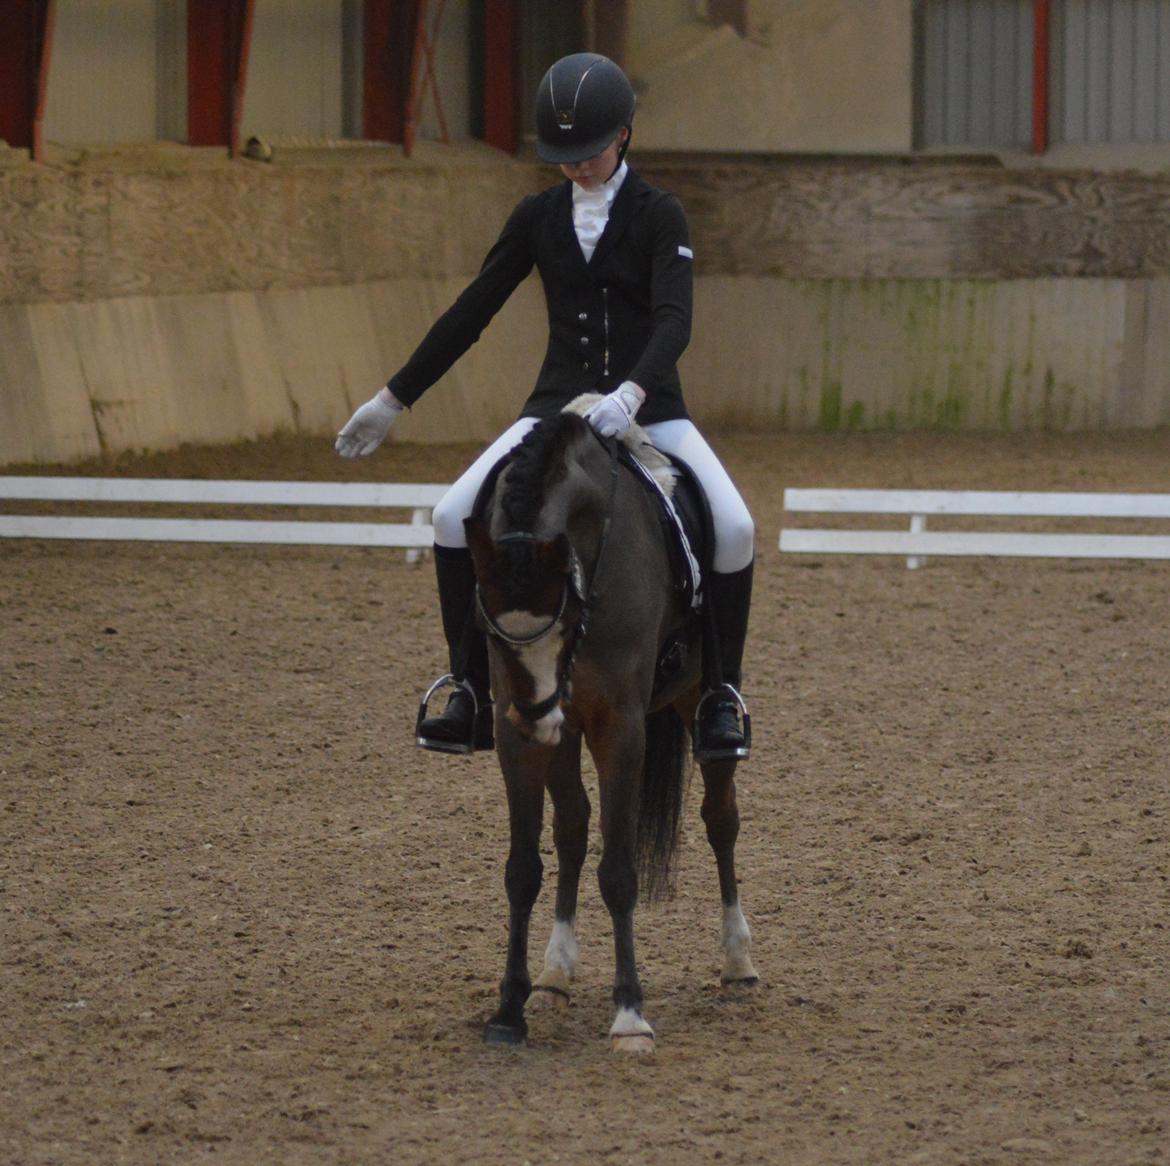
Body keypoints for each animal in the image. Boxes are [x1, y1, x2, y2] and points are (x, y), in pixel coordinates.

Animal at [460, 404, 753, 1052]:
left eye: (569, 617)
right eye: (487, 626)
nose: (539, 717)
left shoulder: (620, 727)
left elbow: (618, 872)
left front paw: (630, 1014)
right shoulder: (517, 735)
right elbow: (523, 868)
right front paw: (508, 1011)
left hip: (694, 702)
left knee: (721, 821)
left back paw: (738, 960)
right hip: (566, 733)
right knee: (571, 828)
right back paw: (553, 975)